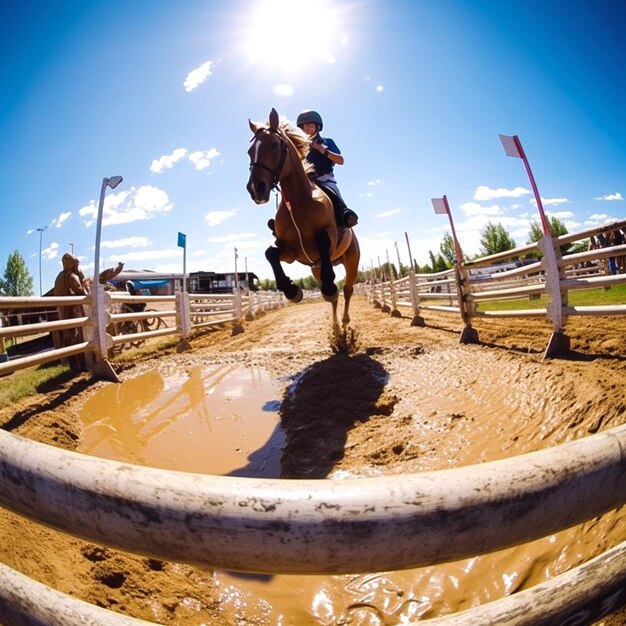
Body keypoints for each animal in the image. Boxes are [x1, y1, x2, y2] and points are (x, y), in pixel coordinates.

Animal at [245, 106, 358, 326]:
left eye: (274, 145)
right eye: (249, 151)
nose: (256, 189)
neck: (298, 203)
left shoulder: (328, 238)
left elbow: (323, 241)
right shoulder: (291, 252)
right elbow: (270, 253)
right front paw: (291, 290)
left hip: (352, 261)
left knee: (347, 289)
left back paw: (345, 320)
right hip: (316, 269)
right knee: (334, 295)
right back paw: (335, 325)